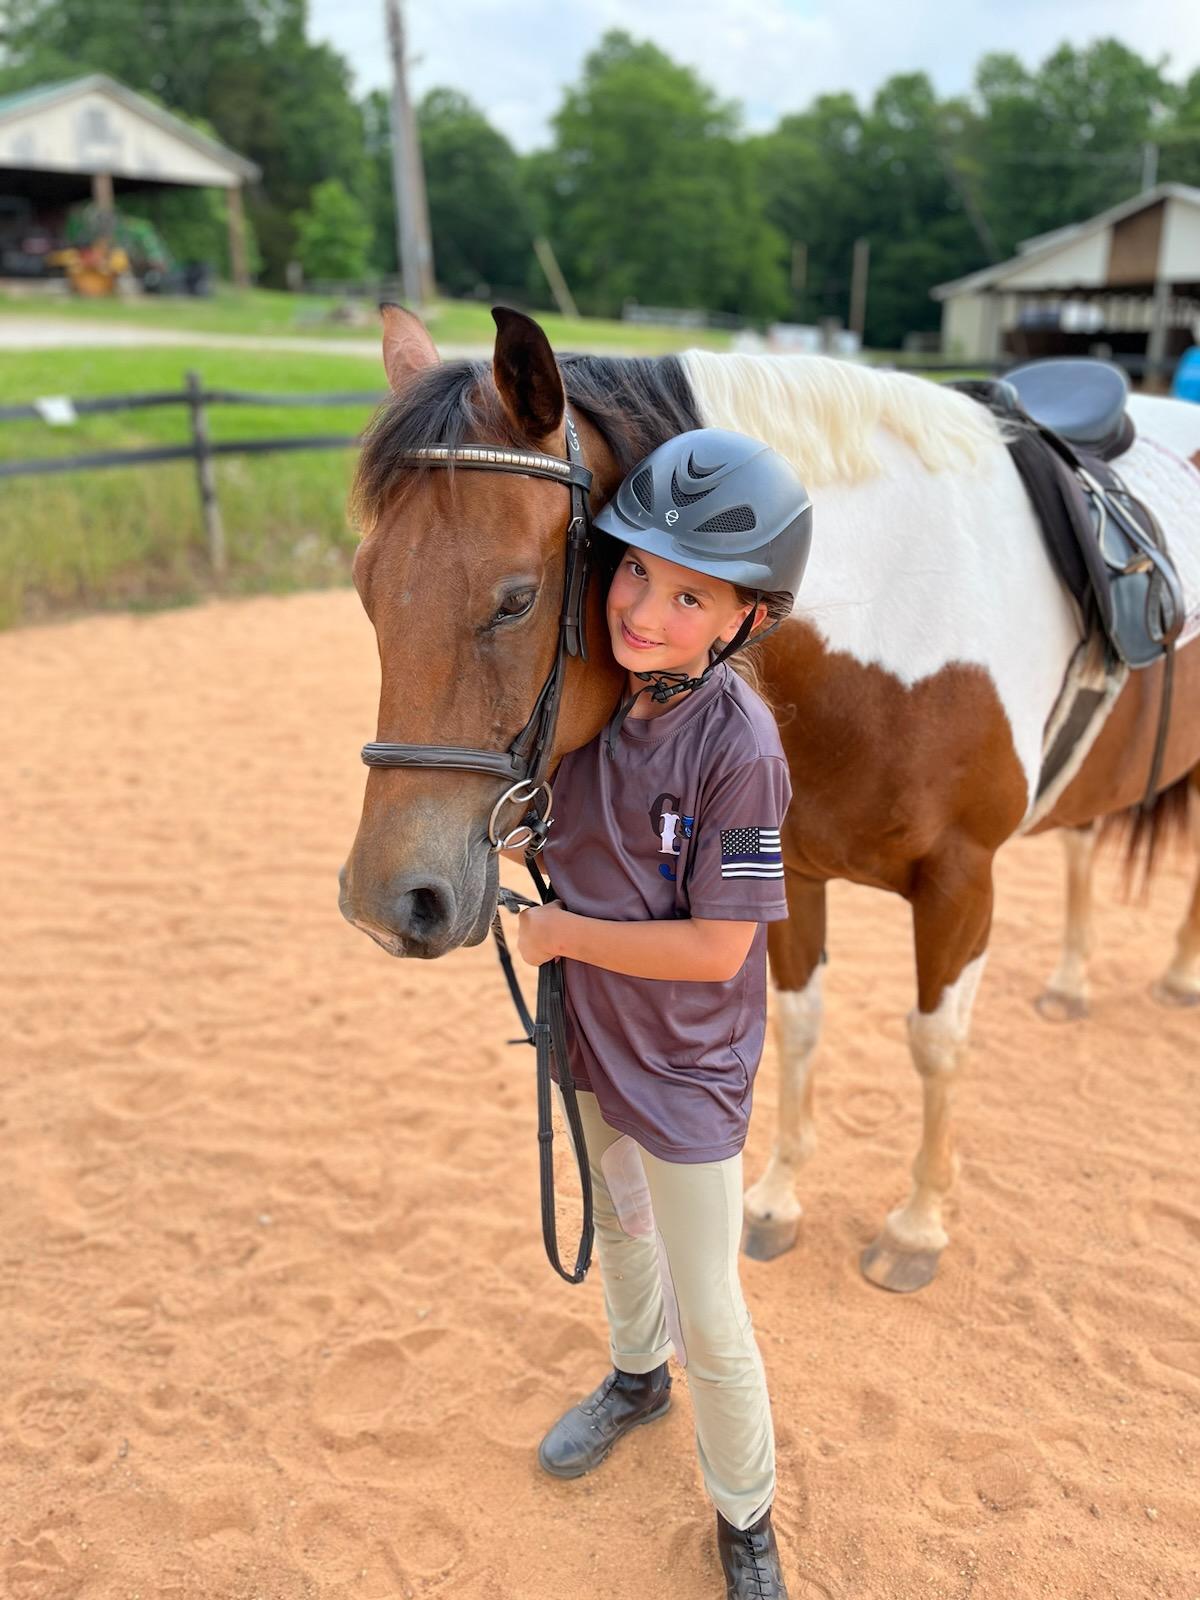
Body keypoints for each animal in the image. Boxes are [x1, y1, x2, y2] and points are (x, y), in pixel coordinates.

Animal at [340, 305, 1200, 1292]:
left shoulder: (961, 881)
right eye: (365, 588)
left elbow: (935, 1043)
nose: (386, 902)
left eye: (517, 600)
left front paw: (918, 1226)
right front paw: (779, 1200)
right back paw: (1074, 982)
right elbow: (798, 1027)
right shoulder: (790, 870)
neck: (901, 615)